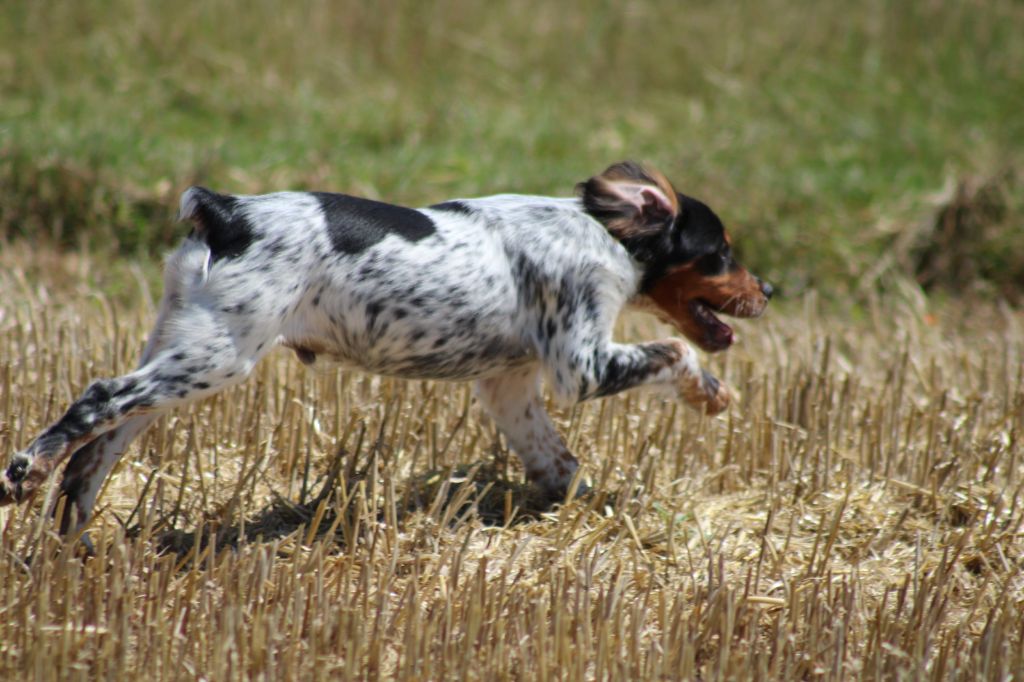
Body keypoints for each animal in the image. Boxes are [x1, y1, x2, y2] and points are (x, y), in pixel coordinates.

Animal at [0, 161, 770, 532]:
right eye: (720, 252)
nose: (768, 287)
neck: (605, 234)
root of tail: (228, 211)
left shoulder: (509, 386)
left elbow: (558, 463)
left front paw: (571, 510)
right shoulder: (580, 365)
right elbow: (675, 354)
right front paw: (711, 395)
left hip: (182, 348)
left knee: (98, 447)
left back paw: (74, 540)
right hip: (217, 356)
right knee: (96, 402)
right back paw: (25, 473)